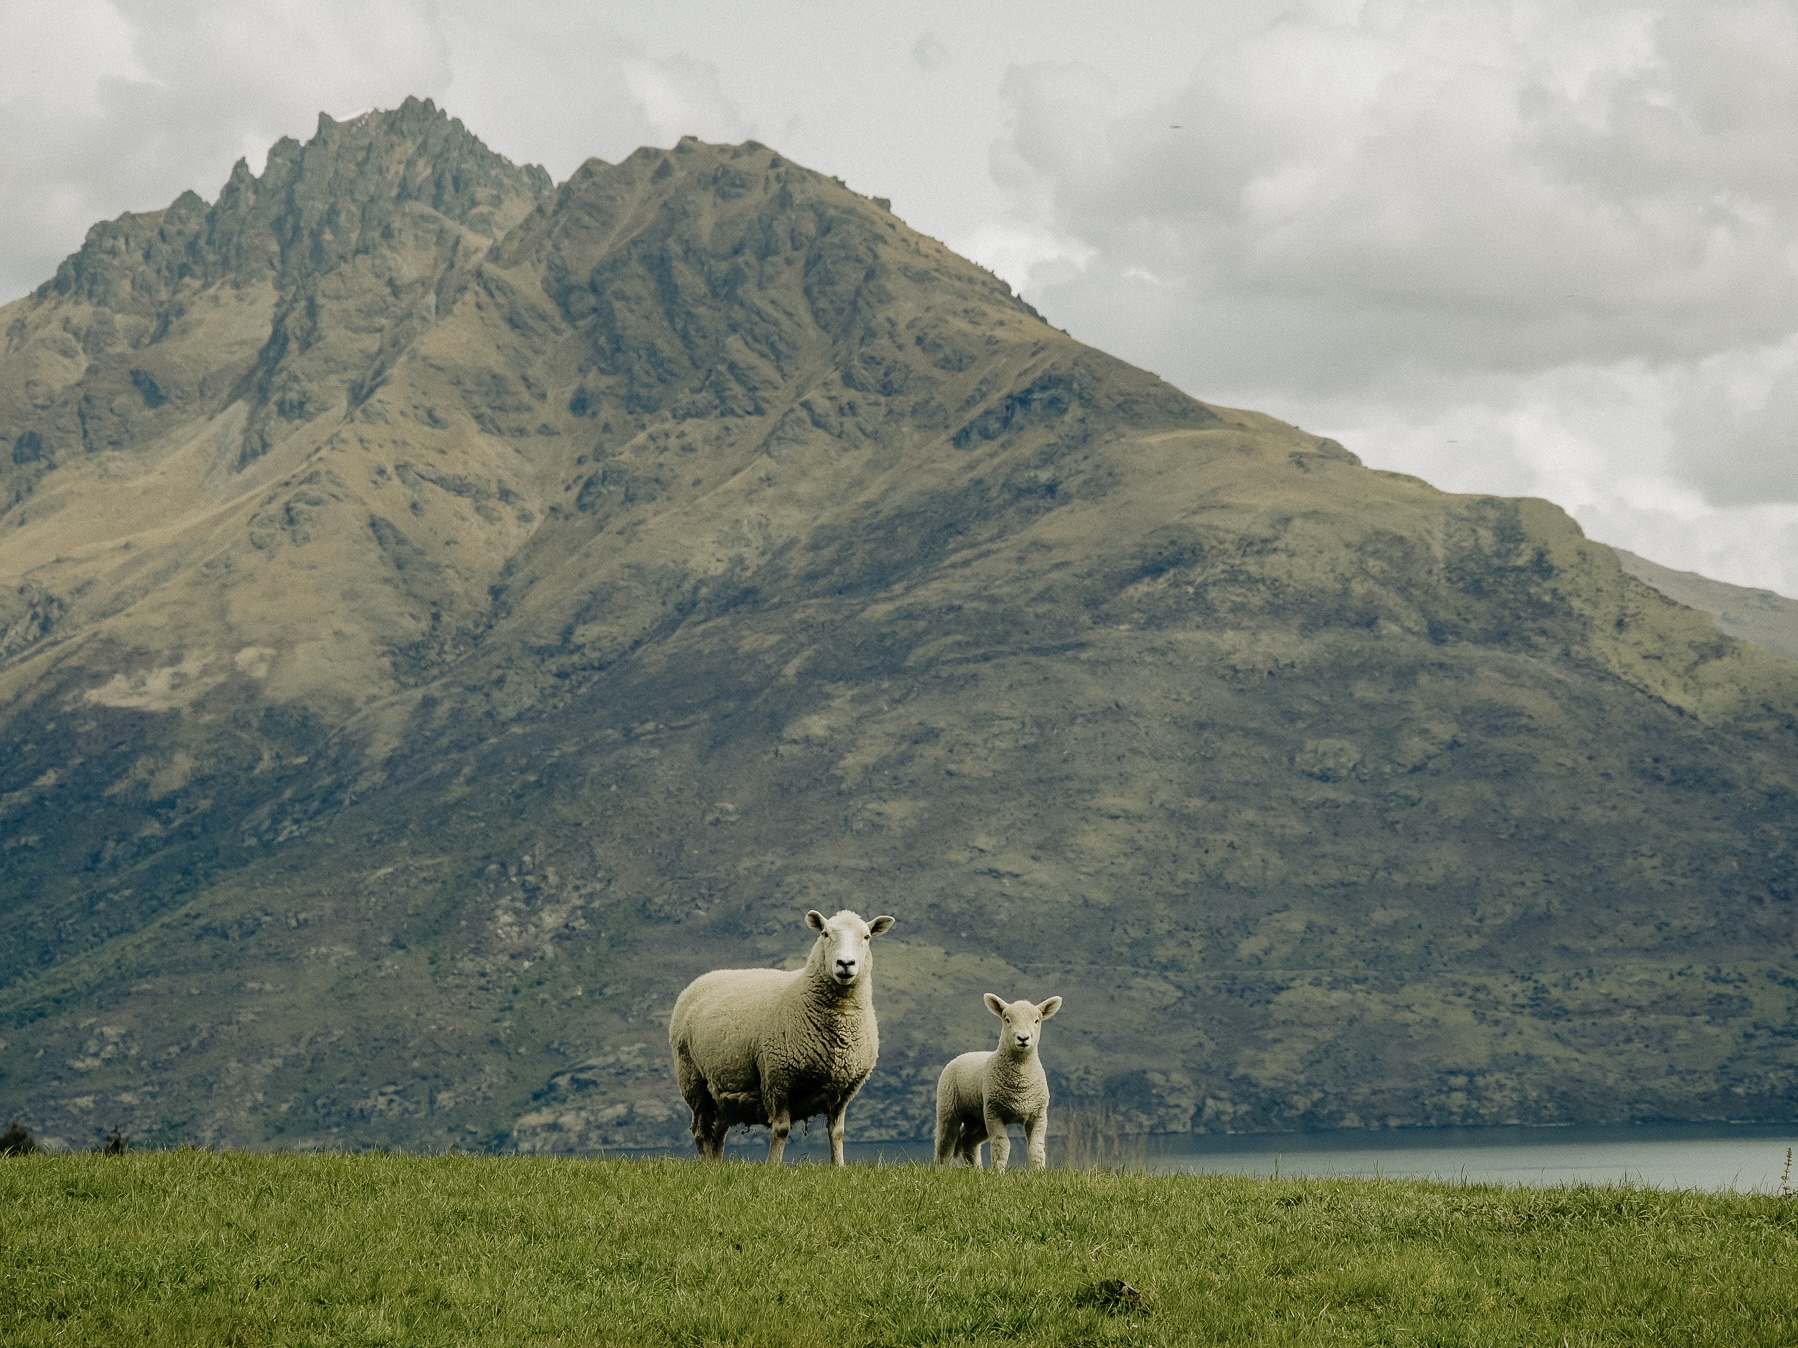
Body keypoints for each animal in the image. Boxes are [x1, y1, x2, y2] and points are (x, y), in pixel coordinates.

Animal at [670, 908, 896, 1164]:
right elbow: (781, 1129)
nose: (845, 963)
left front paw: (838, 1166)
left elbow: (837, 1132)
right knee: (701, 1130)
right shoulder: (777, 1077)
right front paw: (773, 1165)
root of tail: (703, 979)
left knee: (718, 1131)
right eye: (825, 934)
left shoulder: (846, 1088)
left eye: (866, 936)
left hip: (722, 1091)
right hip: (693, 1078)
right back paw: (708, 1164)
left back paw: (717, 1165)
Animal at [934, 993, 1063, 1171]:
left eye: (1037, 1020)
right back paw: (941, 1170)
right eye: (1007, 1019)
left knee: (968, 1140)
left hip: (979, 1118)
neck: (1020, 1082)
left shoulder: (1038, 1114)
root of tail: (965, 1054)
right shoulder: (994, 1112)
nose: (1023, 1038)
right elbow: (1001, 1145)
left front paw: (1038, 1172)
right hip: (949, 1108)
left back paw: (977, 1169)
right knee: (945, 1143)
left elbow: (1036, 1147)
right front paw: (999, 1172)